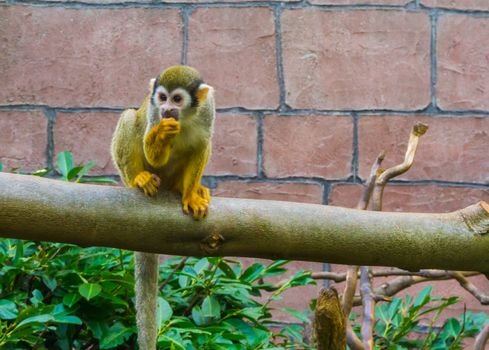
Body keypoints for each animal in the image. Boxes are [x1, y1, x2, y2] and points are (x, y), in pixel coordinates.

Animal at [112, 66, 215, 350]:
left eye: (177, 99)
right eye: (162, 97)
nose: (167, 109)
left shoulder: (208, 110)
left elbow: (202, 145)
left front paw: (191, 196)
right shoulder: (152, 111)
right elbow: (152, 151)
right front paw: (161, 134)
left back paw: (188, 189)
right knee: (129, 117)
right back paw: (140, 180)